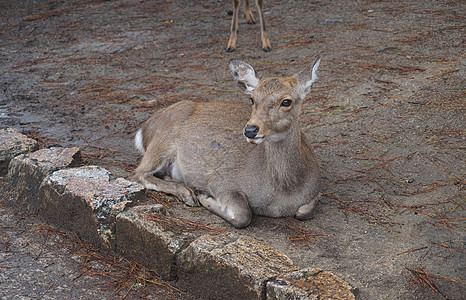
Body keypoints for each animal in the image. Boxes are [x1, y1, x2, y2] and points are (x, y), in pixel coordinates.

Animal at [131, 57, 320, 229]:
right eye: (252, 99)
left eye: (286, 101)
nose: (250, 130)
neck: (283, 194)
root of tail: (146, 128)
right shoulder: (221, 179)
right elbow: (243, 215)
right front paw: (205, 197)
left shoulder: (315, 192)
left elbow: (305, 211)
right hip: (162, 142)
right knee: (140, 173)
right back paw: (188, 193)